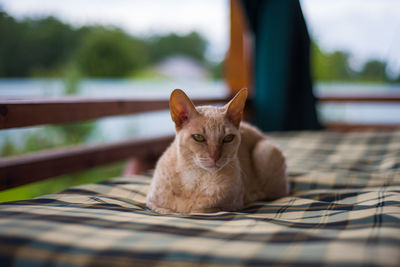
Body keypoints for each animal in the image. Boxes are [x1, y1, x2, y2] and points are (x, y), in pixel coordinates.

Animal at [145, 89, 290, 215]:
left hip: (264, 151)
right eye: (198, 137)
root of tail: (260, 132)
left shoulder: (230, 206)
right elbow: (169, 211)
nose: (215, 157)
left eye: (228, 138)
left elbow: (199, 210)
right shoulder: (153, 204)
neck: (194, 178)